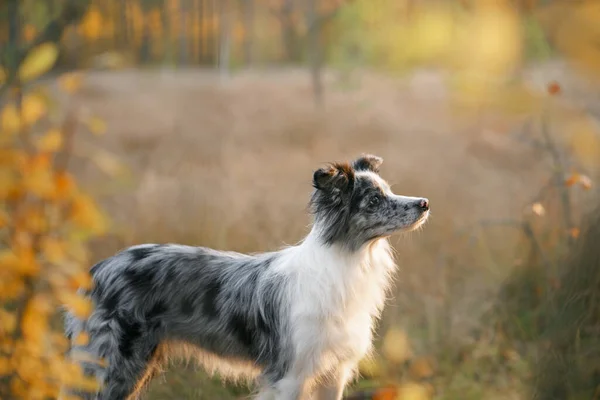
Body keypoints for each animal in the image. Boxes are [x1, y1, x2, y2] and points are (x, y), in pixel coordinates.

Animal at [62, 154, 426, 400]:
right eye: (374, 200)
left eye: (389, 190)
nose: (423, 203)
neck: (347, 261)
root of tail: (96, 270)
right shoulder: (289, 374)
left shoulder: (333, 373)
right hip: (110, 367)